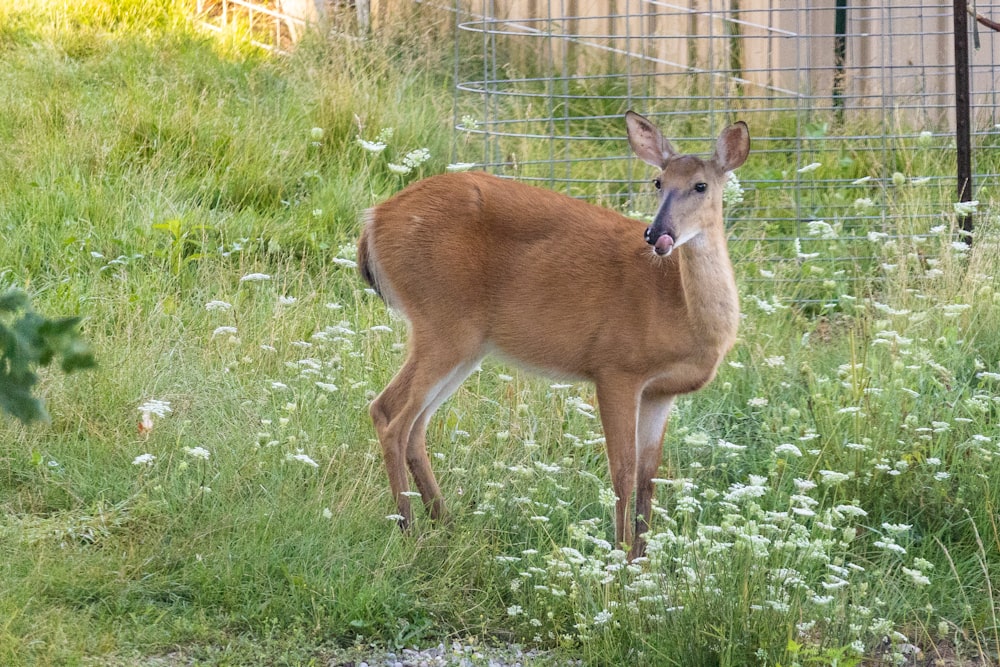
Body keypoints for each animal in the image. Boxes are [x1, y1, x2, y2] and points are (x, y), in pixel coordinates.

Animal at [356, 111, 748, 560]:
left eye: (701, 185)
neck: (681, 312)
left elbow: (649, 476)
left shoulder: (661, 392)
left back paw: (445, 522)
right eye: (658, 182)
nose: (656, 233)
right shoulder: (615, 366)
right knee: (390, 414)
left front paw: (642, 562)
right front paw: (619, 558)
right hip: (442, 319)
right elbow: (623, 470)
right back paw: (408, 528)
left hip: (468, 342)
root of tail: (373, 220)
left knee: (416, 424)